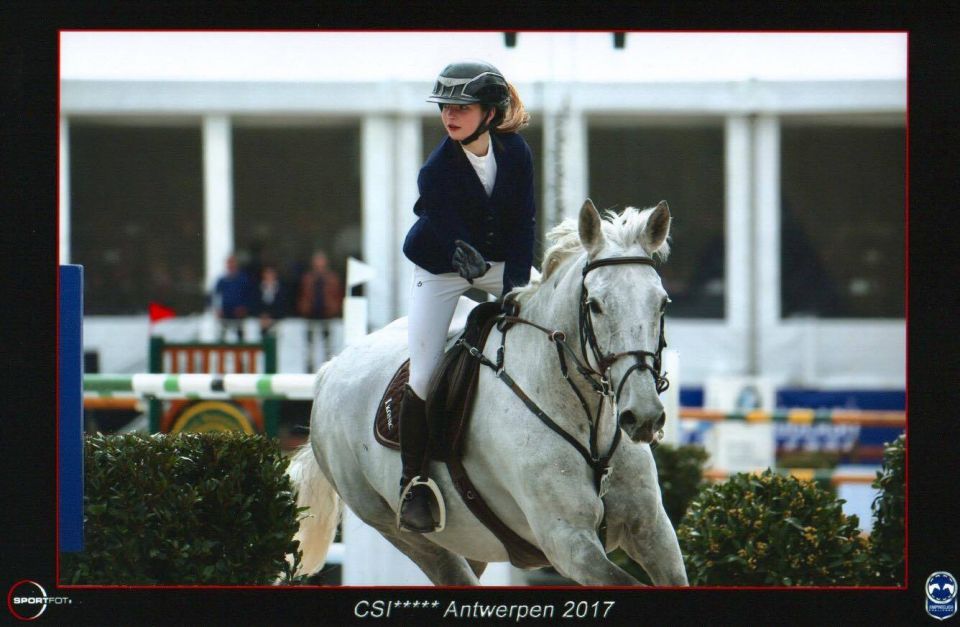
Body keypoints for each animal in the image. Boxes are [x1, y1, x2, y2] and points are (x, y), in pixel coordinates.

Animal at [288, 201, 688, 588]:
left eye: (662, 303)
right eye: (595, 305)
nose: (644, 417)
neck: (588, 419)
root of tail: (331, 369)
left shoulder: (653, 531)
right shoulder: (570, 544)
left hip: (471, 541)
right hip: (400, 528)